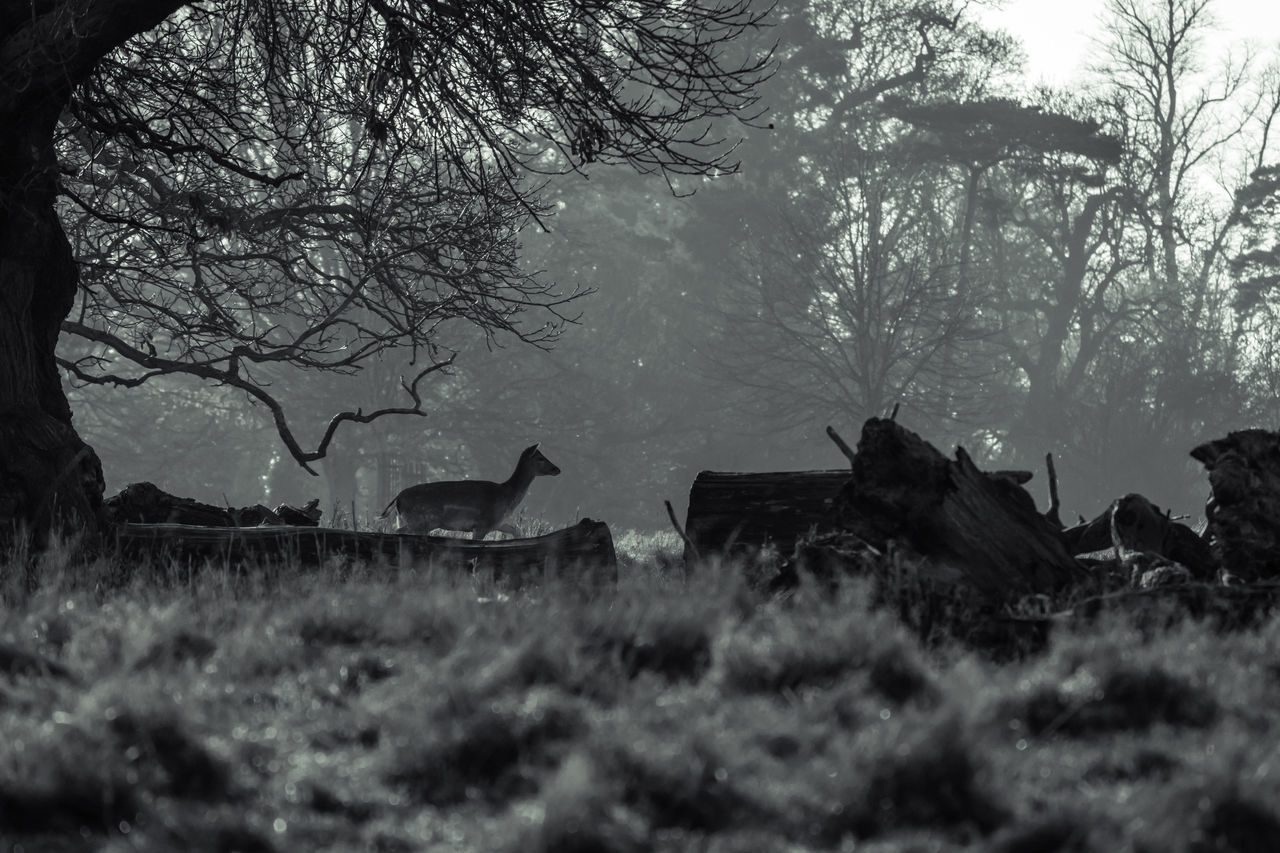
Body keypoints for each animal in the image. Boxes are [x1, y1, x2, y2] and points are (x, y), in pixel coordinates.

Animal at [376, 440, 563, 535]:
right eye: (540, 458)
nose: (557, 469)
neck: (507, 497)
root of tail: (397, 498)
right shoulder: (483, 524)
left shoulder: (497, 523)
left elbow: (517, 530)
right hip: (421, 521)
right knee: (397, 531)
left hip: (412, 521)